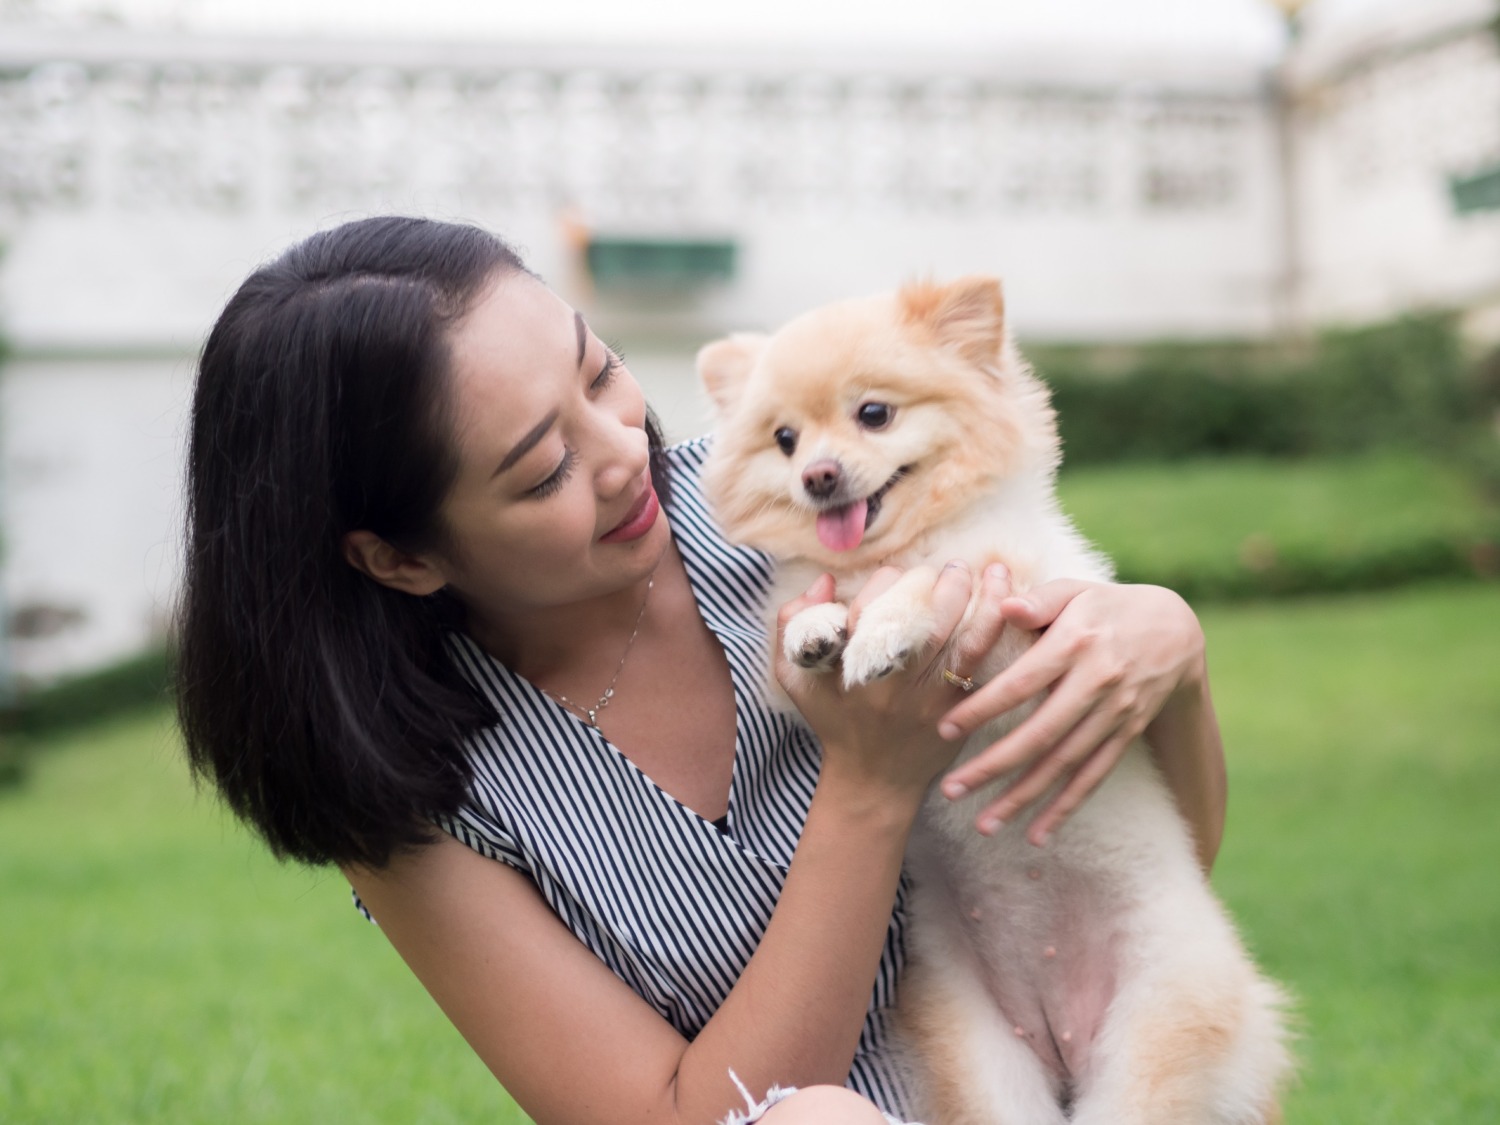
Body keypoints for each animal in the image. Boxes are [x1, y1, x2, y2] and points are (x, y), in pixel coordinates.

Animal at [699, 276, 1290, 1125]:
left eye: (873, 413)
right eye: (784, 439)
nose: (818, 475)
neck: (898, 544)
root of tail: (1064, 1035)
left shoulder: (1035, 623)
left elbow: (946, 583)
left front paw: (884, 628)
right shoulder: (784, 668)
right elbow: (800, 632)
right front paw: (822, 627)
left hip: (1155, 1029)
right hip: (981, 1052)